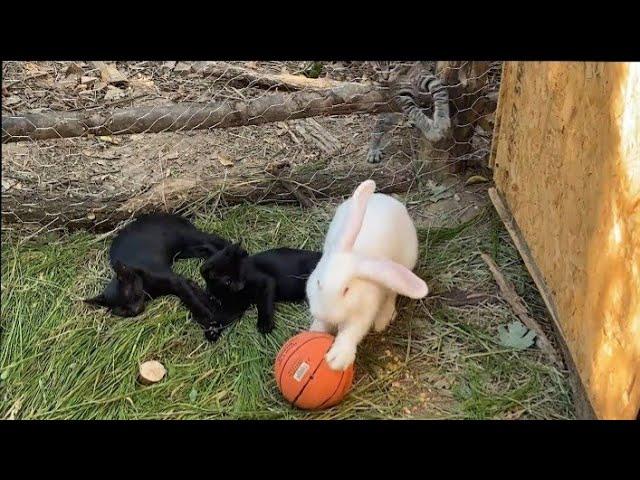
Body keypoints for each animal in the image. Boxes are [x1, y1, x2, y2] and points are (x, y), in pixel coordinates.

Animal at [84, 212, 230, 340]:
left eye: (130, 295)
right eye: (122, 311)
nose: (134, 311)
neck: (148, 289)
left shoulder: (175, 281)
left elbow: (191, 300)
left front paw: (209, 321)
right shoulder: (182, 281)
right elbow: (195, 294)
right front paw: (210, 313)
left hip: (189, 237)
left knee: (215, 240)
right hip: (184, 251)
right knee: (205, 248)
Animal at [306, 178, 430, 370]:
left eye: (346, 290)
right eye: (318, 282)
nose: (325, 314)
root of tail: (384, 198)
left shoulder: (363, 313)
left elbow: (352, 332)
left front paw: (338, 359)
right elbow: (320, 325)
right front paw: (314, 333)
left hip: (399, 267)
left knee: (392, 293)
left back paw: (383, 319)